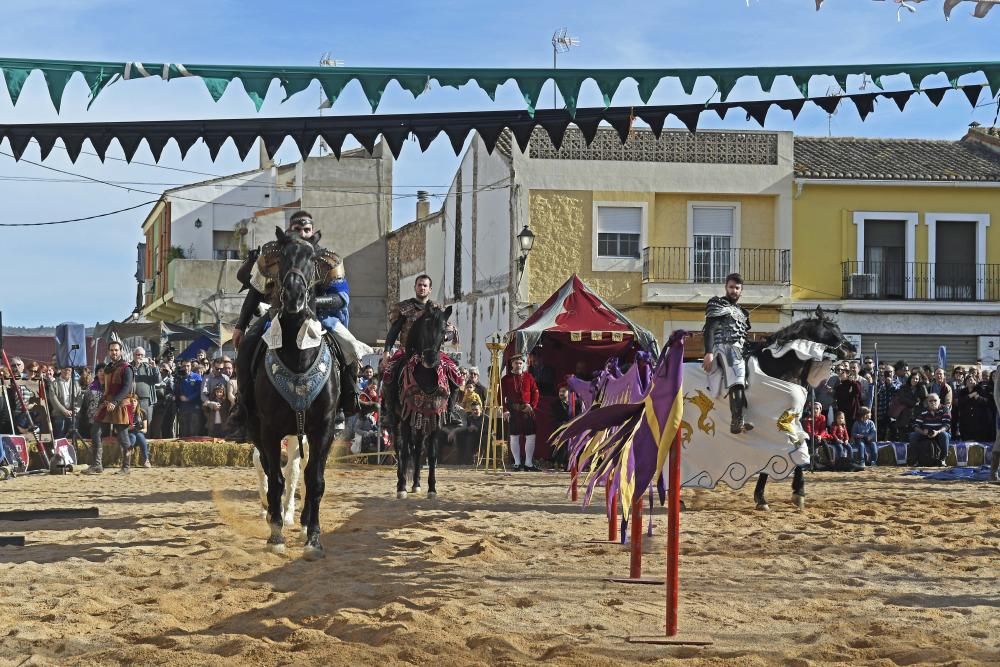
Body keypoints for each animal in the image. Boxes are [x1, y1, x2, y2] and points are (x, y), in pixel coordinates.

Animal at [248, 227, 342, 560]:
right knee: (272, 468)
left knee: (300, 470)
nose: (293, 296)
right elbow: (275, 476)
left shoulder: (323, 428)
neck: (298, 356)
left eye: (312, 259)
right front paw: (275, 532)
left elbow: (314, 480)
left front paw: (313, 536)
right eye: (284, 257)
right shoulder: (268, 429)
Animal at [384, 306, 458, 498]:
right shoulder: (404, 418)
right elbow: (403, 451)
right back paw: (401, 482)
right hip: (397, 419)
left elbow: (431, 454)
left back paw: (416, 483)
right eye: (426, 327)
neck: (425, 377)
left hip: (421, 420)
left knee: (418, 448)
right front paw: (401, 487)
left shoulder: (435, 418)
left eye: (443, 331)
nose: (430, 359)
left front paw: (432, 488)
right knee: (400, 446)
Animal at [748, 308, 856, 512]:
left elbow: (801, 443)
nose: (851, 349)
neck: (780, 372)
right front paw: (762, 497)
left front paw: (798, 492)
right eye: (831, 327)